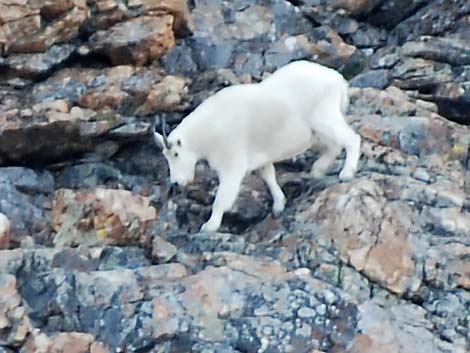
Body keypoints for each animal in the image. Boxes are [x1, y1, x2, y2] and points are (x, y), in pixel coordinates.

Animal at [152, 59, 362, 232]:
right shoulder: (260, 158)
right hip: (318, 128)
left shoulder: (232, 164)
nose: (176, 182)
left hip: (324, 116)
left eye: (176, 154)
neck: (208, 130)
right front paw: (279, 205)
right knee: (334, 145)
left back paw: (346, 172)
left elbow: (221, 199)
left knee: (351, 139)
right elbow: (268, 175)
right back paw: (317, 170)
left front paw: (209, 226)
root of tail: (339, 80)